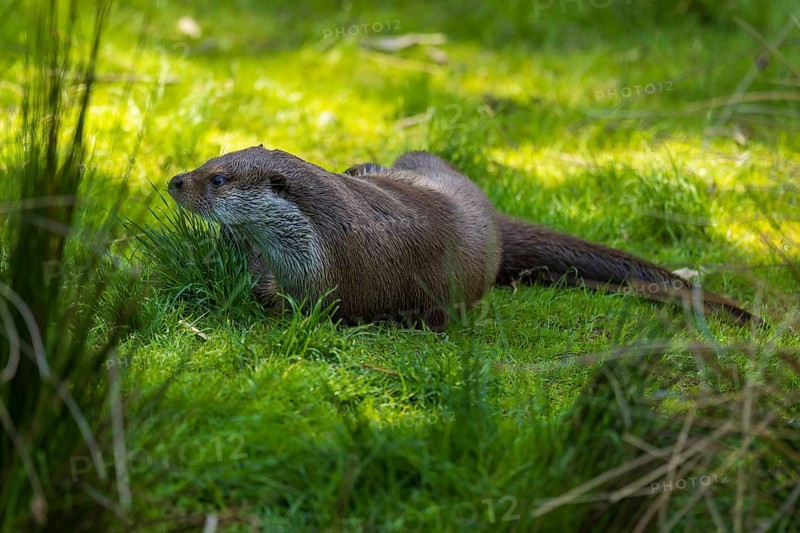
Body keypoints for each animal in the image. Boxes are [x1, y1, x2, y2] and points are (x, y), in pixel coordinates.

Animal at [168, 146, 760, 330]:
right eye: (210, 160)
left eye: (217, 179)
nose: (175, 181)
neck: (325, 232)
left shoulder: (330, 280)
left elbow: (291, 304)